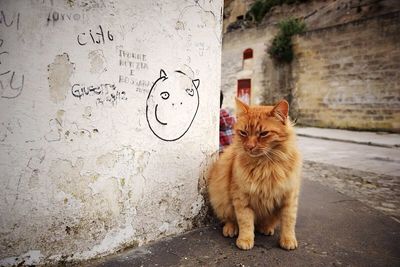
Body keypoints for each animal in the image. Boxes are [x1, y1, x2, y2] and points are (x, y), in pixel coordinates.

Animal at [208, 98, 302, 251]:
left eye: (263, 134)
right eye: (243, 133)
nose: (249, 147)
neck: (266, 165)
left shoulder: (289, 197)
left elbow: (289, 221)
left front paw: (288, 240)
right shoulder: (241, 198)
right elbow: (245, 221)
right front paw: (245, 240)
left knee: (265, 223)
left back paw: (265, 228)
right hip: (222, 201)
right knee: (229, 219)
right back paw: (231, 229)